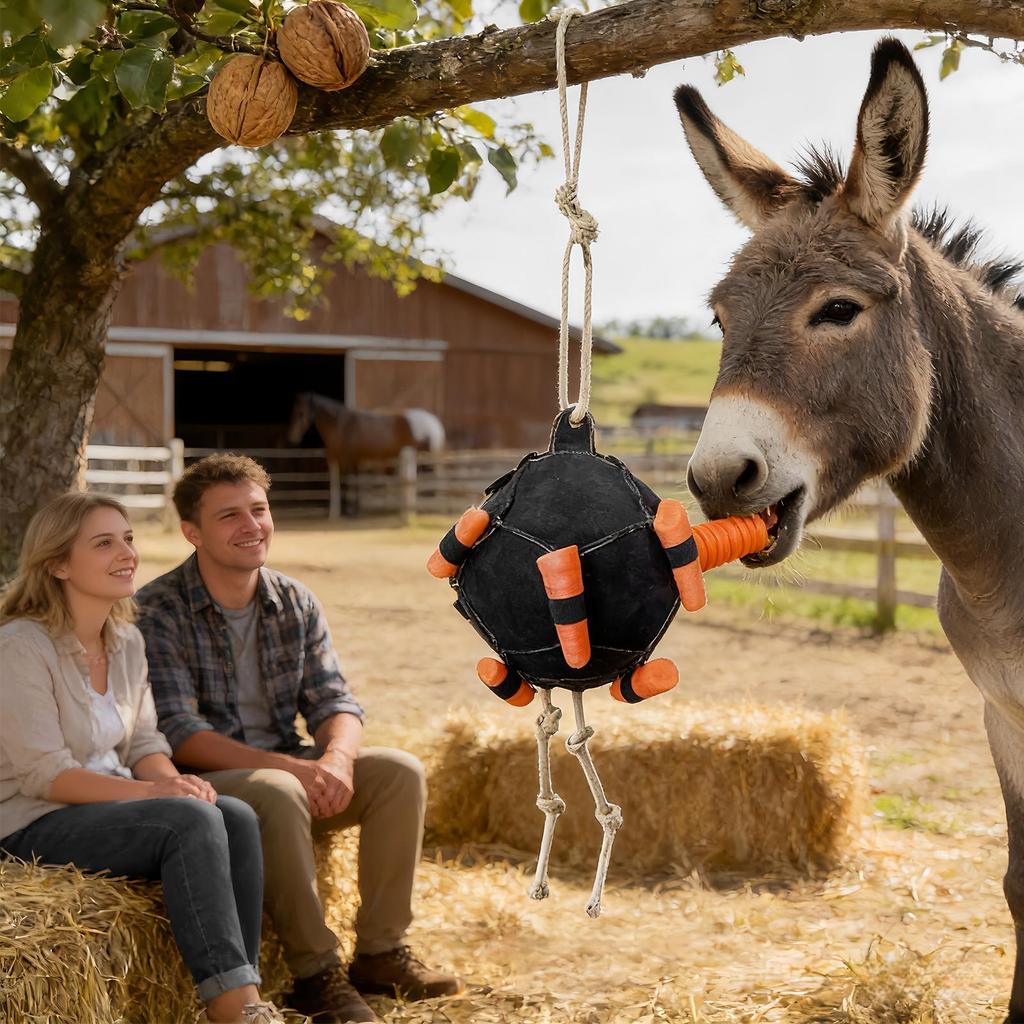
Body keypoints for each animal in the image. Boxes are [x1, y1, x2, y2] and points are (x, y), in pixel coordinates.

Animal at [286, 392, 445, 514]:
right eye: (293, 413)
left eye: (301, 413)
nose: (292, 438)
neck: (341, 426)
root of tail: (432, 422)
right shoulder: (348, 461)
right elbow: (350, 483)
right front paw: (351, 509)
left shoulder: (347, 461)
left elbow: (349, 483)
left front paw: (350, 511)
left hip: (426, 459)